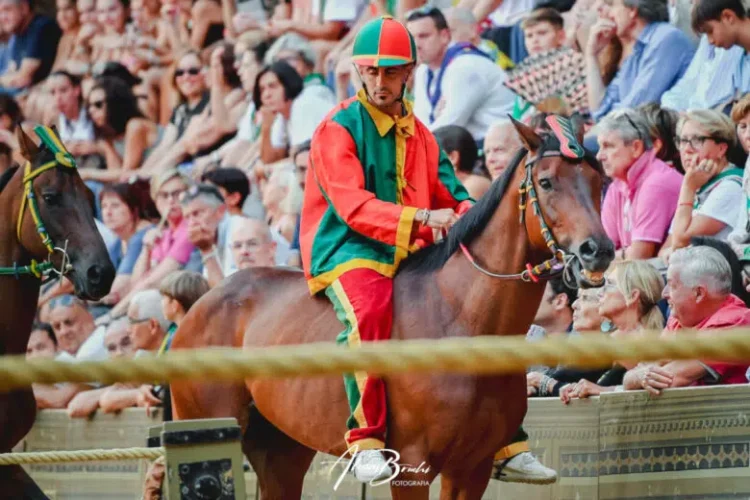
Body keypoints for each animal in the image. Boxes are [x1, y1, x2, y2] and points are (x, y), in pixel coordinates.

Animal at [172, 118, 616, 500]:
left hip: (282, 449)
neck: (459, 320)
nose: (598, 250)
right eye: (546, 182)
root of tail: (201, 306)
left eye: (599, 181)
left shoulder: (470, 469)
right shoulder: (412, 467)